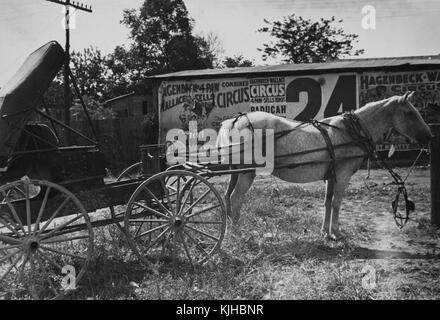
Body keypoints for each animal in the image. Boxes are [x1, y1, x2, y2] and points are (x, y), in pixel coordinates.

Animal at [218, 90, 432, 240]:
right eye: (409, 113)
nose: (429, 137)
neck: (350, 132)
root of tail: (235, 121)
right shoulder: (343, 175)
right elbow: (337, 203)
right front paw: (337, 232)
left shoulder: (331, 176)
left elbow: (328, 203)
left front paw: (325, 232)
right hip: (247, 173)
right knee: (236, 199)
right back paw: (238, 233)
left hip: (235, 172)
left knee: (227, 197)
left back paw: (228, 230)